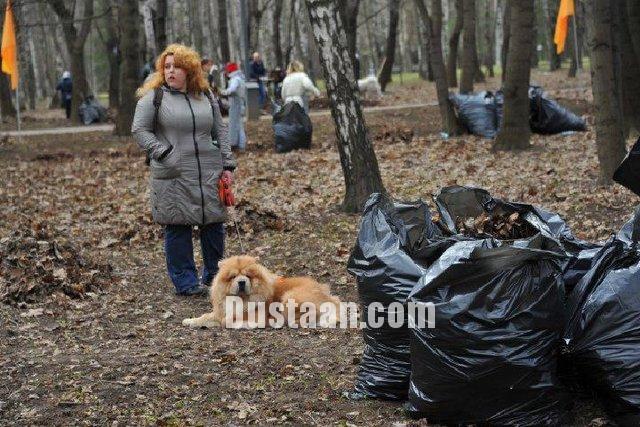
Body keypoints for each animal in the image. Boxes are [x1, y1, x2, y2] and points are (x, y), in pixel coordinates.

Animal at [181, 256, 340, 330]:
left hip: (289, 298)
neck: (241, 299)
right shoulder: (220, 312)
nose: (241, 282)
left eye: (248, 276)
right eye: (233, 276)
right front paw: (190, 321)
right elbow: (205, 317)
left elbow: (227, 321)